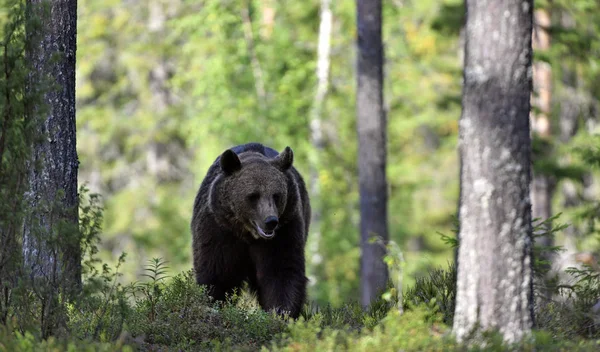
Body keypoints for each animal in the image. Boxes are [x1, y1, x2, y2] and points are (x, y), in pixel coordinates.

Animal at [192, 142, 312, 318]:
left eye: (276, 195)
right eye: (253, 195)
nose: (271, 221)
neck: (247, 233)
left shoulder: (284, 231)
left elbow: (281, 271)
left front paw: (280, 312)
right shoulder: (219, 229)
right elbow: (217, 272)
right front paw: (212, 304)